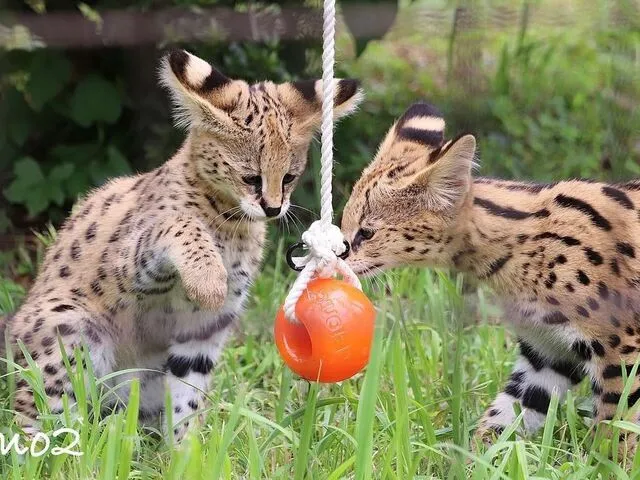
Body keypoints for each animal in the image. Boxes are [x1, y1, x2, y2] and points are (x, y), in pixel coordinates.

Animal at [3, 49, 363, 440]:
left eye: (289, 178)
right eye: (250, 178)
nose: (273, 208)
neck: (230, 222)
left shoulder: (202, 329)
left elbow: (186, 399)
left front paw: (187, 450)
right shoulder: (126, 260)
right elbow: (179, 224)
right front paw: (208, 279)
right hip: (69, 327)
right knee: (34, 416)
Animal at [340, 101, 640, 448]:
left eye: (367, 233)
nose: (337, 257)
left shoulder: (622, 349)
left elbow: (616, 431)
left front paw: (609, 458)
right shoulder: (545, 353)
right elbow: (505, 417)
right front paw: (472, 456)